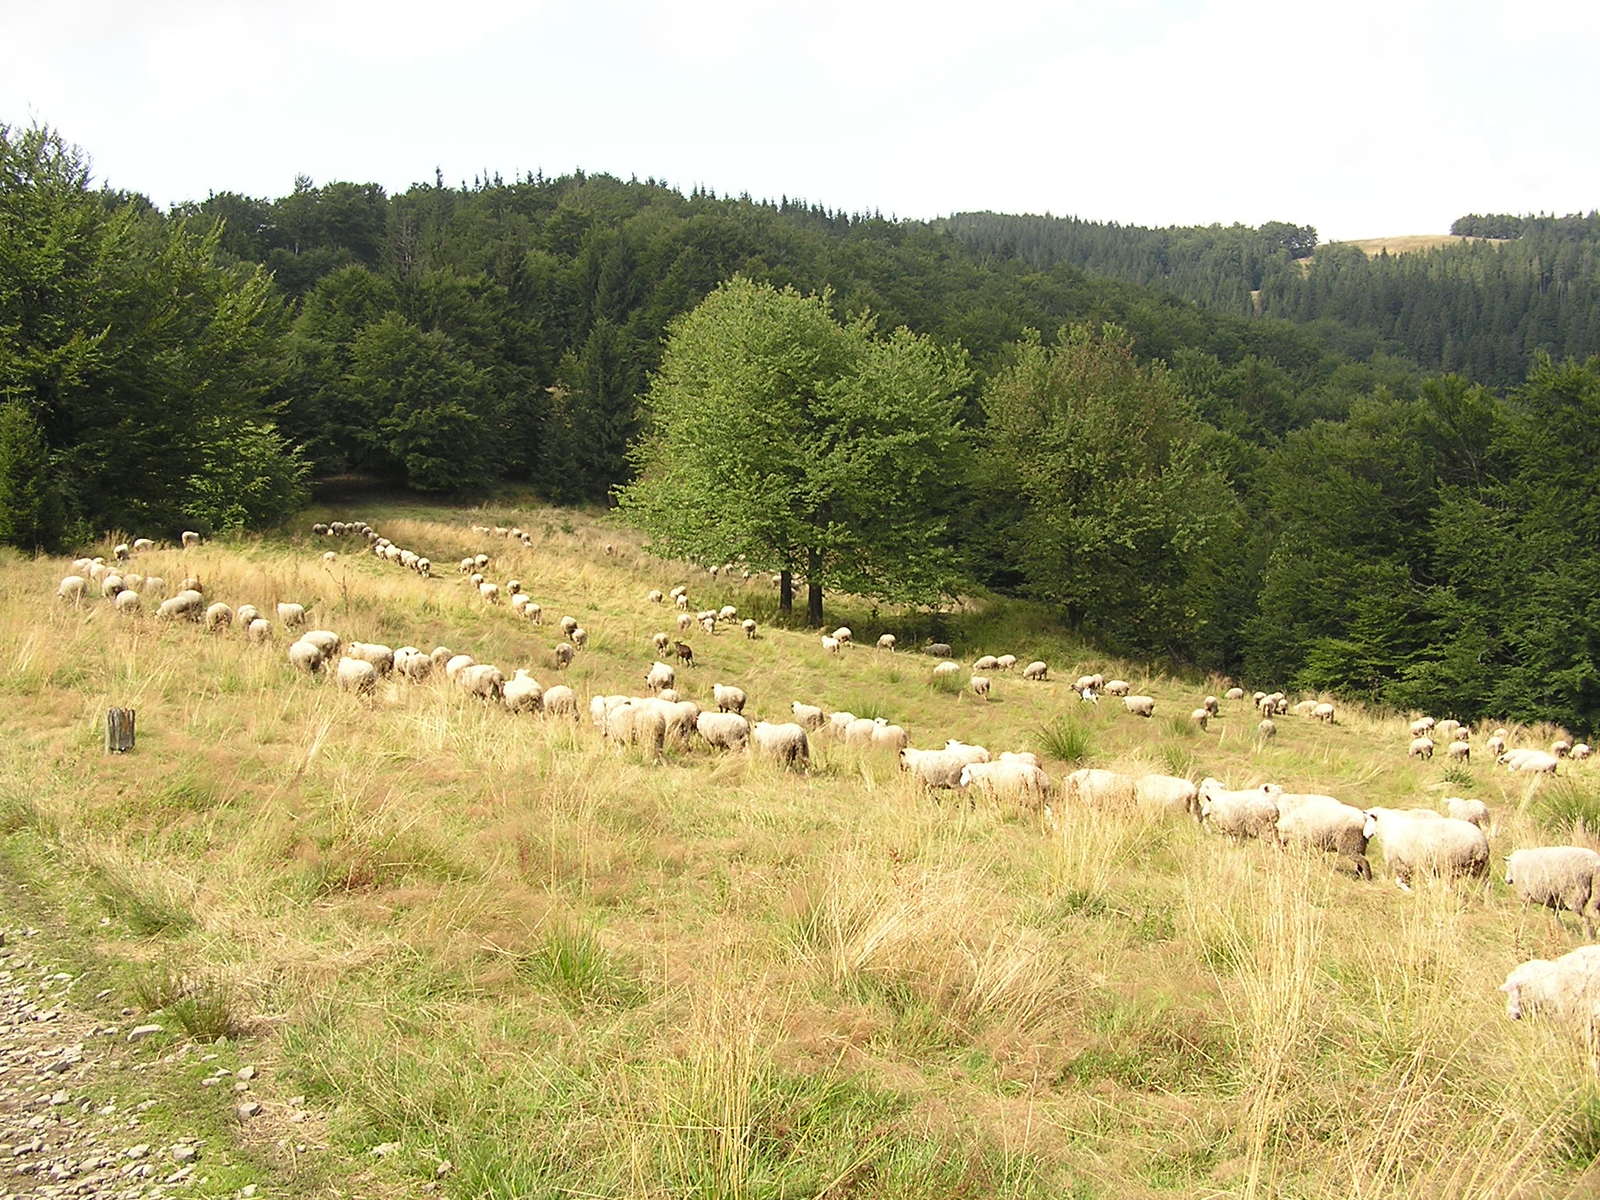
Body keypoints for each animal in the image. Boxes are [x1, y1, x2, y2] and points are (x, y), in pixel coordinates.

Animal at [1356, 809, 1491, 896]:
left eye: (1368, 820)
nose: (1364, 834)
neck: (1388, 828)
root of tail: (1479, 844)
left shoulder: (1397, 860)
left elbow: (1397, 880)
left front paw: (1409, 891)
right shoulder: (1409, 863)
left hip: (1450, 864)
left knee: (1447, 887)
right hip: (1482, 867)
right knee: (1486, 885)